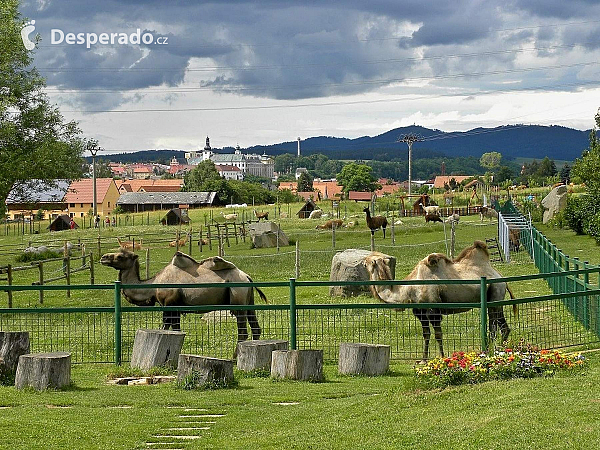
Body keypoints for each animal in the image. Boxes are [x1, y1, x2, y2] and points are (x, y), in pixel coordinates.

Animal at [101, 250, 268, 344]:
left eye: (120, 256)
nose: (103, 257)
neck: (154, 285)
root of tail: (247, 277)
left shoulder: (171, 305)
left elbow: (173, 329)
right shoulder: (169, 308)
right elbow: (168, 328)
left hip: (238, 298)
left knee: (243, 332)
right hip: (248, 301)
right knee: (256, 328)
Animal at [366, 239, 516, 362]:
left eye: (367, 262)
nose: (362, 261)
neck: (410, 288)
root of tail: (500, 276)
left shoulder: (433, 310)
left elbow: (438, 334)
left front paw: (443, 357)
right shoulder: (420, 311)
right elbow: (426, 335)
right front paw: (423, 359)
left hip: (495, 291)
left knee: (493, 326)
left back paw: (491, 350)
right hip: (495, 298)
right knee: (503, 327)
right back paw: (499, 349)